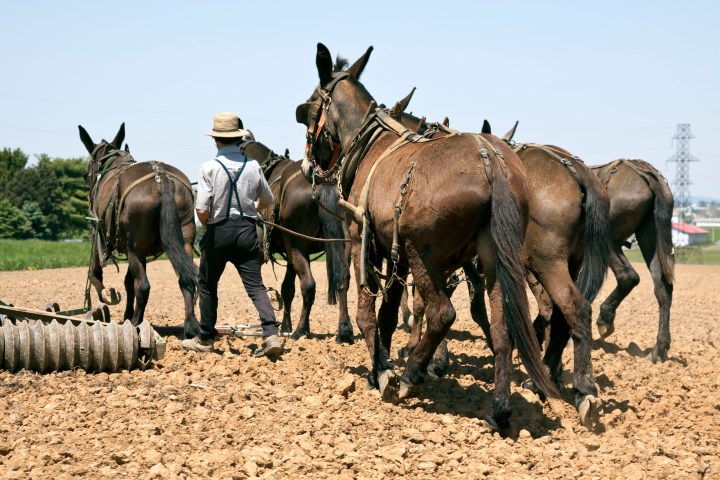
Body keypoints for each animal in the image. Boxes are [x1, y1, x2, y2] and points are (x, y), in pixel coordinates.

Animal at [78, 123, 200, 339]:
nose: (88, 182)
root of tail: (162, 179)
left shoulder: (101, 236)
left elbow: (96, 273)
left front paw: (110, 297)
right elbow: (128, 283)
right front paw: (126, 313)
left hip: (136, 249)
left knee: (142, 285)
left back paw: (136, 322)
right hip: (182, 240)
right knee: (186, 279)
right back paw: (190, 326)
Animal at [240, 140, 354, 344]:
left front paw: (287, 327)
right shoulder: (291, 252)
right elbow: (287, 289)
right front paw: (286, 325)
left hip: (298, 244)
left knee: (308, 285)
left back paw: (300, 330)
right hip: (342, 243)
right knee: (343, 279)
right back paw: (344, 330)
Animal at [296, 43, 559, 428]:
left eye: (310, 104)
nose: (308, 166)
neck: (371, 142)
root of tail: (491, 161)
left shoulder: (364, 241)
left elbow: (368, 313)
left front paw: (382, 372)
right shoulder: (397, 256)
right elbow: (389, 314)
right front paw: (382, 367)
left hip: (425, 255)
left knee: (443, 313)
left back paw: (411, 377)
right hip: (491, 260)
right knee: (502, 327)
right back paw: (498, 407)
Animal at [591, 159, 675, 362]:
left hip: (609, 241)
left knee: (628, 277)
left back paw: (605, 318)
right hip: (650, 240)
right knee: (662, 289)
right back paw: (659, 348)